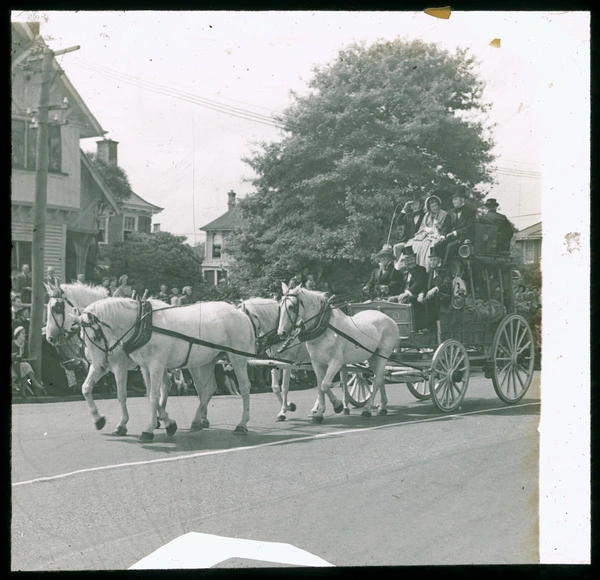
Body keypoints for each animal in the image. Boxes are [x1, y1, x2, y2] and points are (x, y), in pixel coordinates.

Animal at [44, 284, 169, 438]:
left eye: (56, 307)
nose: (49, 337)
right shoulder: (100, 366)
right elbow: (86, 388)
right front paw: (98, 420)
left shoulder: (120, 367)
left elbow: (122, 395)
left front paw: (122, 424)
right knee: (164, 389)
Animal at [79, 296, 255, 442]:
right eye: (82, 338)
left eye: (95, 336)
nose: (99, 364)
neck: (141, 325)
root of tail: (240, 313)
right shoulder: (145, 367)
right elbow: (87, 388)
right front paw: (100, 420)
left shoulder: (145, 365)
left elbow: (144, 396)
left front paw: (147, 429)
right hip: (204, 361)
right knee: (207, 388)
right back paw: (198, 421)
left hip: (237, 358)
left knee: (244, 387)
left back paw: (241, 425)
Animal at [278, 284, 400, 424]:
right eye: (280, 306)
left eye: (291, 307)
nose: (281, 333)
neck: (325, 327)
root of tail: (389, 318)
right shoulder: (316, 363)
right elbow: (320, 386)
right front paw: (319, 413)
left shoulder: (336, 362)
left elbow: (325, 385)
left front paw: (337, 405)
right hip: (373, 356)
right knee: (379, 379)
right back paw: (382, 407)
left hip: (383, 354)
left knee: (377, 379)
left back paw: (367, 409)